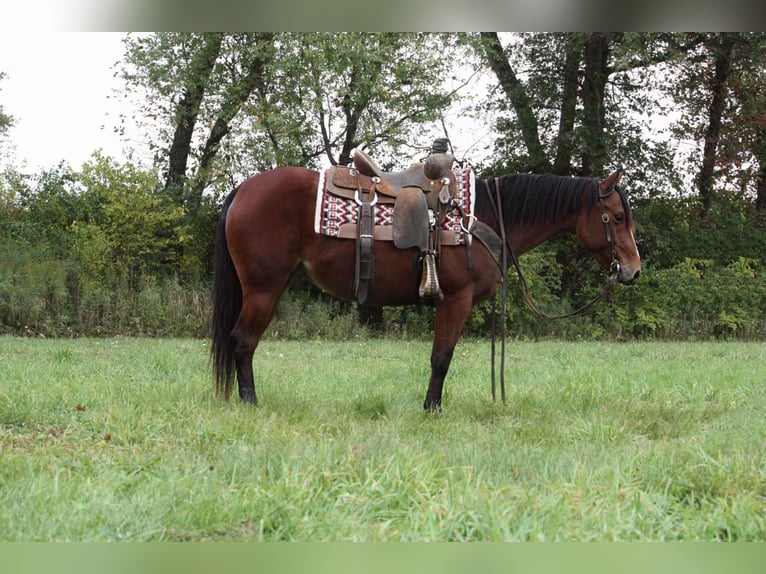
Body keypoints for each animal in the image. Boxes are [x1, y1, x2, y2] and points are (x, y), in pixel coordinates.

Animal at [210, 164, 640, 412]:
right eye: (618, 217)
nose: (633, 271)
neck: (482, 218)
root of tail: (242, 189)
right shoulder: (456, 300)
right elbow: (441, 358)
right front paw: (432, 409)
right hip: (263, 288)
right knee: (243, 341)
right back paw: (250, 403)